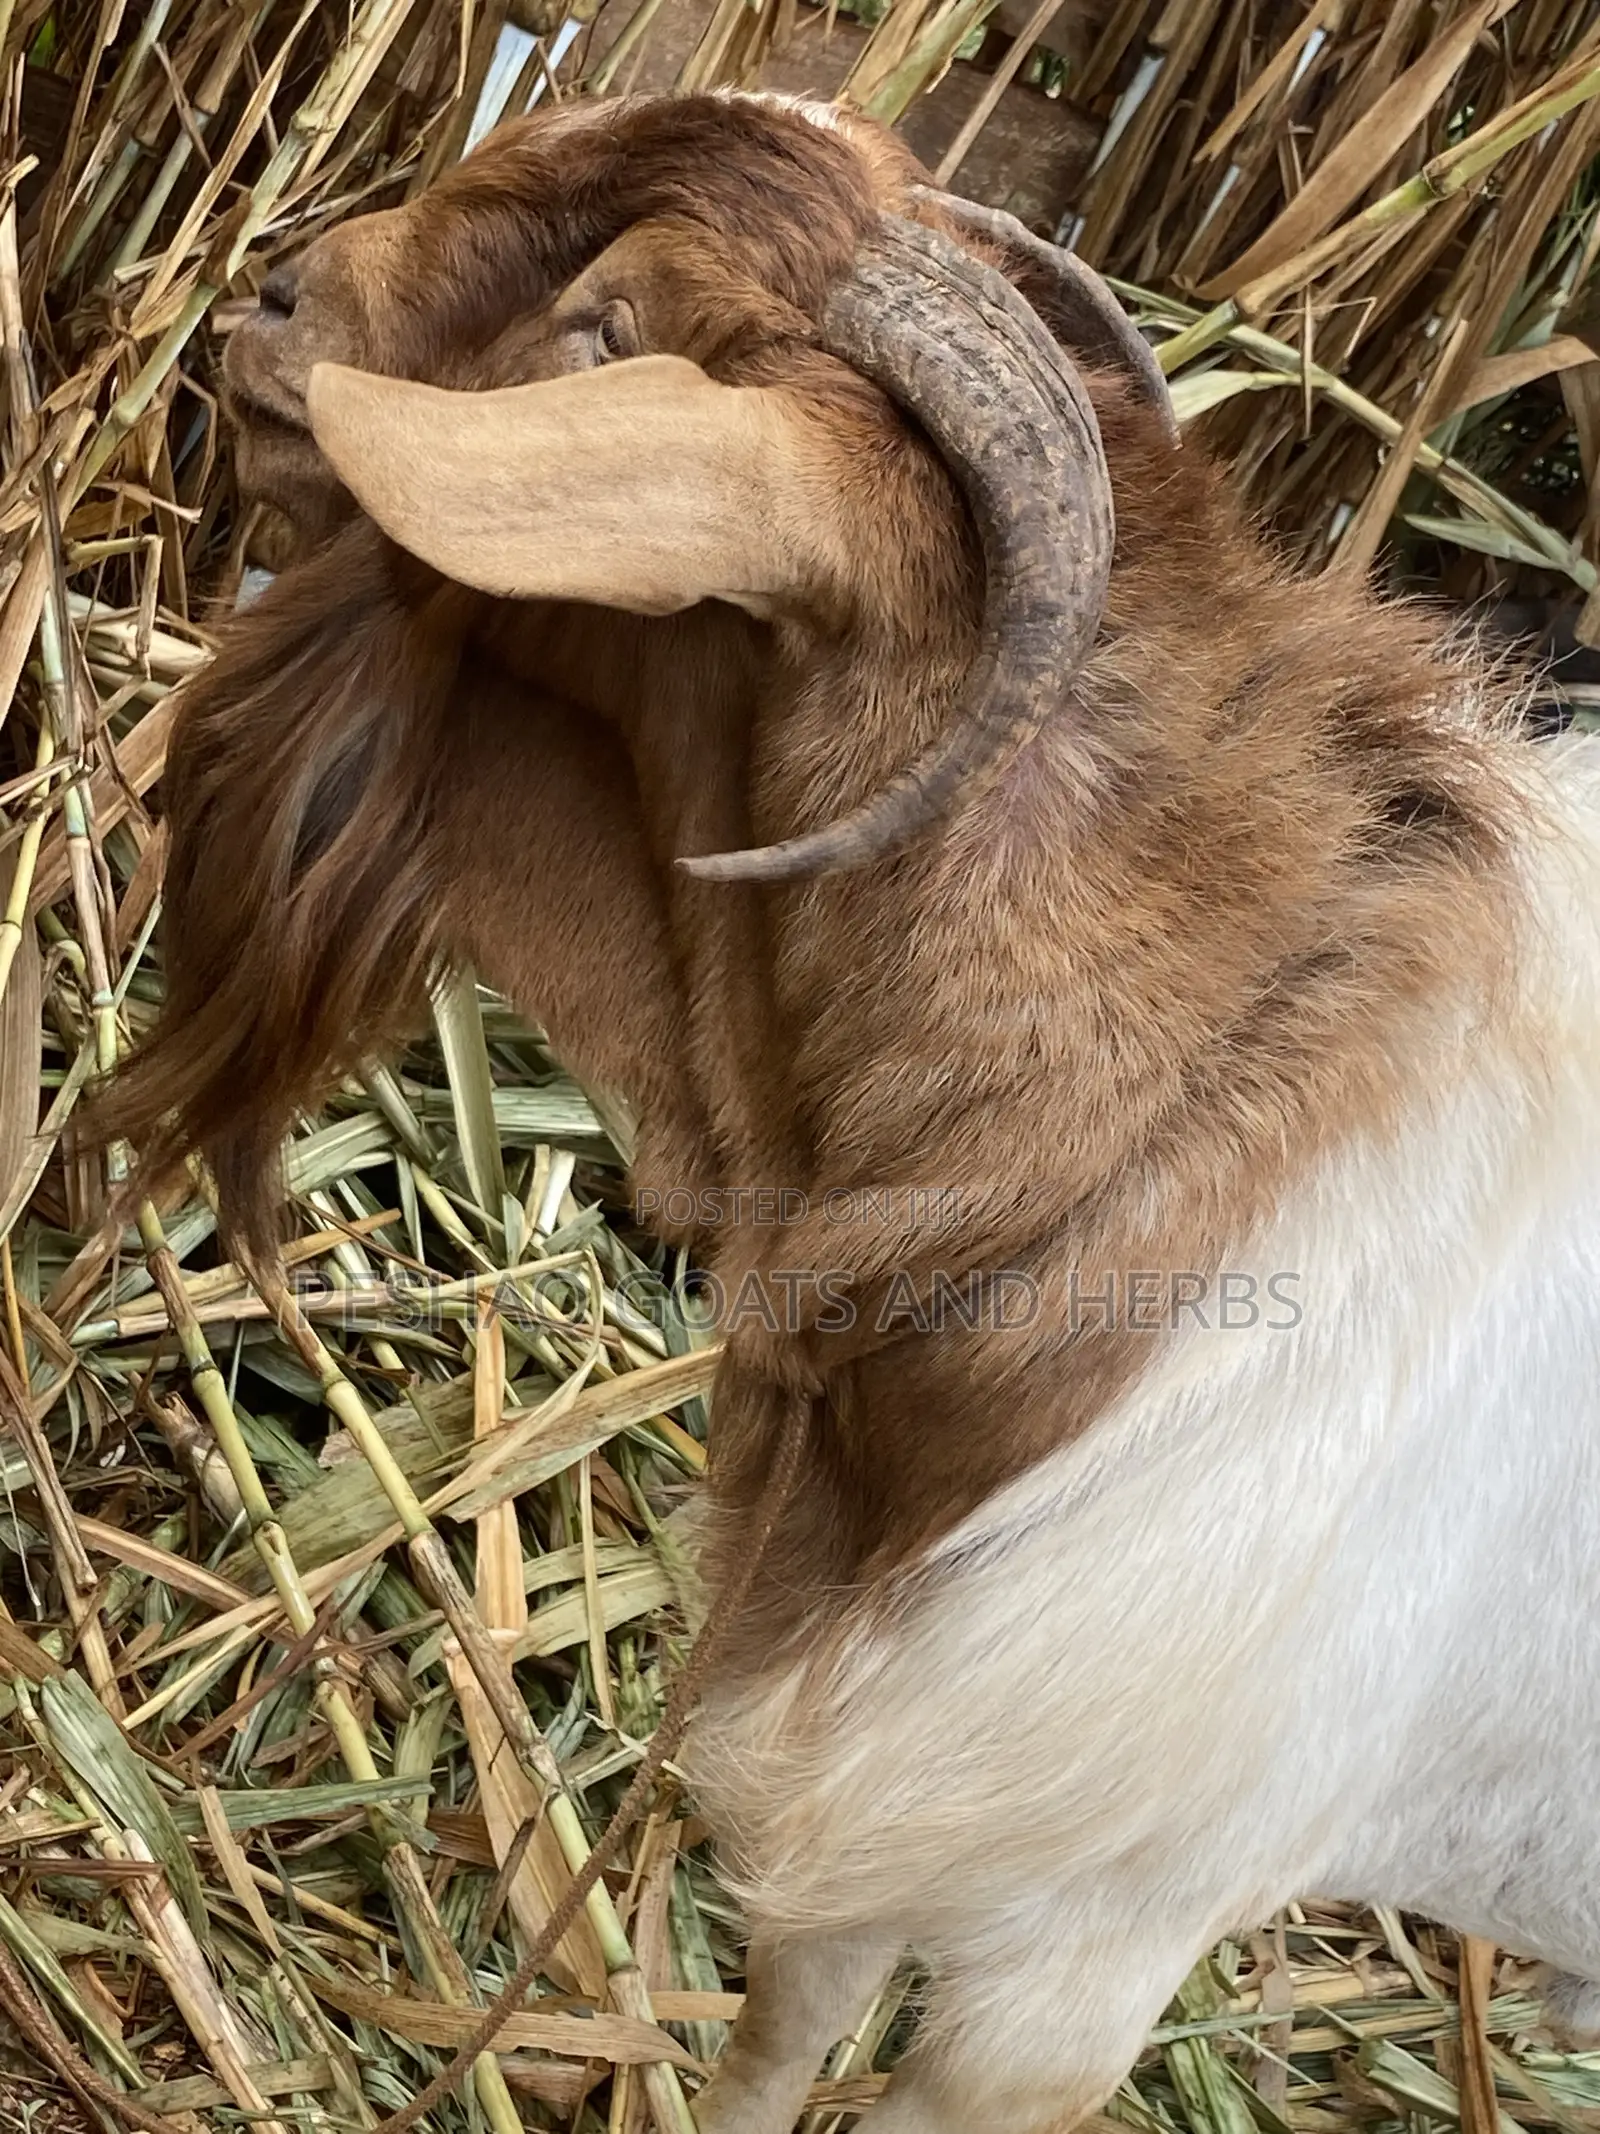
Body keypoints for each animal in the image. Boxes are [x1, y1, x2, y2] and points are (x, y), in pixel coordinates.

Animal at [106, 87, 1600, 2134]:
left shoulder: (1067, 1963)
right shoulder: (855, 1779)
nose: (266, 301)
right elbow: (778, 2031)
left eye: (610, 325)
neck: (1163, 1146)